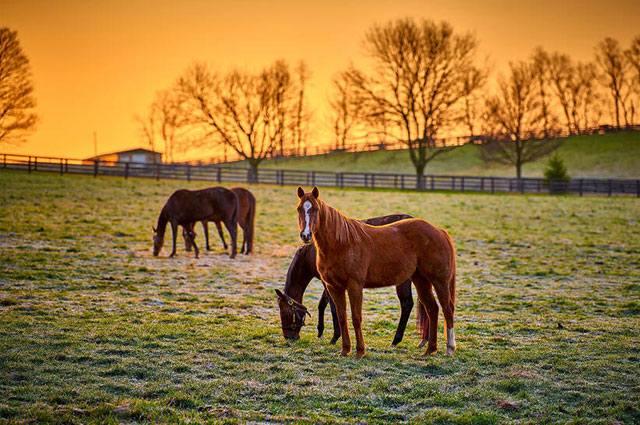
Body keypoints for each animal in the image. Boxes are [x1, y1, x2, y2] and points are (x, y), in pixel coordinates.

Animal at [274, 214, 424, 346]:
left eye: (285, 312)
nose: (288, 337)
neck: (311, 252)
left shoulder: (328, 282)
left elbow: (333, 307)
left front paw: (335, 337)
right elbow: (322, 304)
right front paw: (321, 331)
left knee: (407, 304)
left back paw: (396, 340)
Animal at [298, 187, 458, 356]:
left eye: (315, 209)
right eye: (299, 209)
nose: (306, 235)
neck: (341, 243)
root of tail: (440, 231)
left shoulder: (355, 286)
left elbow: (356, 318)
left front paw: (360, 351)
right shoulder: (334, 287)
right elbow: (341, 317)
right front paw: (345, 350)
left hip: (440, 281)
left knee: (447, 310)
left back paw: (449, 349)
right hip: (421, 281)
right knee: (432, 309)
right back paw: (430, 349)